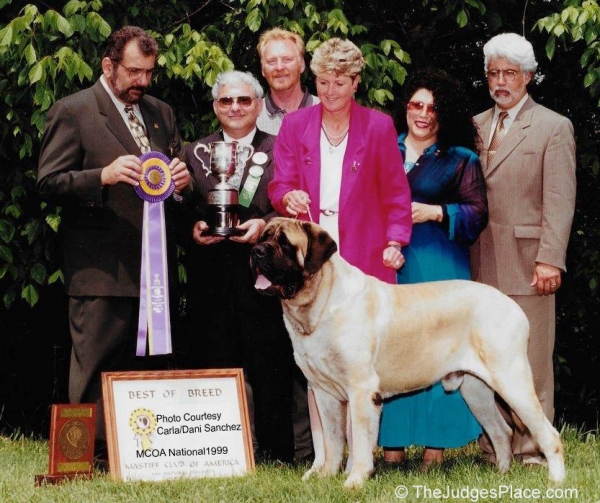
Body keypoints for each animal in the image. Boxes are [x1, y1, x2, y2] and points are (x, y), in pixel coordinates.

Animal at [251, 218, 564, 488]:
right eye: (263, 236)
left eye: (285, 243)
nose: (256, 251)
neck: (319, 303)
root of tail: (512, 306)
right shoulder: (324, 393)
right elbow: (332, 442)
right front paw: (326, 477)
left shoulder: (361, 390)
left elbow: (360, 443)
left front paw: (354, 481)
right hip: (476, 390)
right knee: (501, 432)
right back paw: (501, 476)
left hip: (512, 380)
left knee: (549, 434)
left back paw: (556, 482)